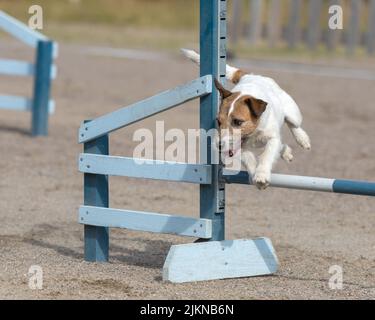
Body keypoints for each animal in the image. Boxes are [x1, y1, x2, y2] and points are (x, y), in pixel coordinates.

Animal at [182, 49, 312, 190]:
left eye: (238, 122)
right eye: (218, 121)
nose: (219, 145)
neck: (252, 133)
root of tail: (250, 75)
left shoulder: (272, 138)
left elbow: (267, 155)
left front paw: (261, 175)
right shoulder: (239, 148)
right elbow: (248, 158)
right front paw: (255, 175)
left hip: (292, 113)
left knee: (293, 124)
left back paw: (302, 139)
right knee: (283, 142)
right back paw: (286, 152)